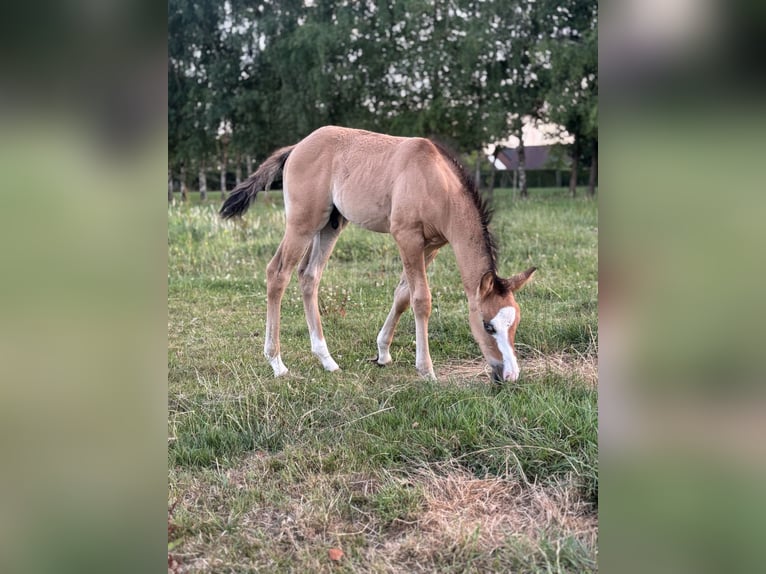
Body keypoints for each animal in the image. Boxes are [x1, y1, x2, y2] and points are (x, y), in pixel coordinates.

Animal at [220, 126, 536, 383]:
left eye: (515, 322)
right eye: (488, 326)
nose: (510, 375)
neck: (437, 184)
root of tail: (297, 147)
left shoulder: (431, 245)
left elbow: (403, 295)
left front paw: (382, 353)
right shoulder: (407, 237)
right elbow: (421, 300)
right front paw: (426, 370)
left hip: (330, 225)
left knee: (309, 276)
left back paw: (327, 360)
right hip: (302, 223)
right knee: (278, 273)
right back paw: (277, 363)